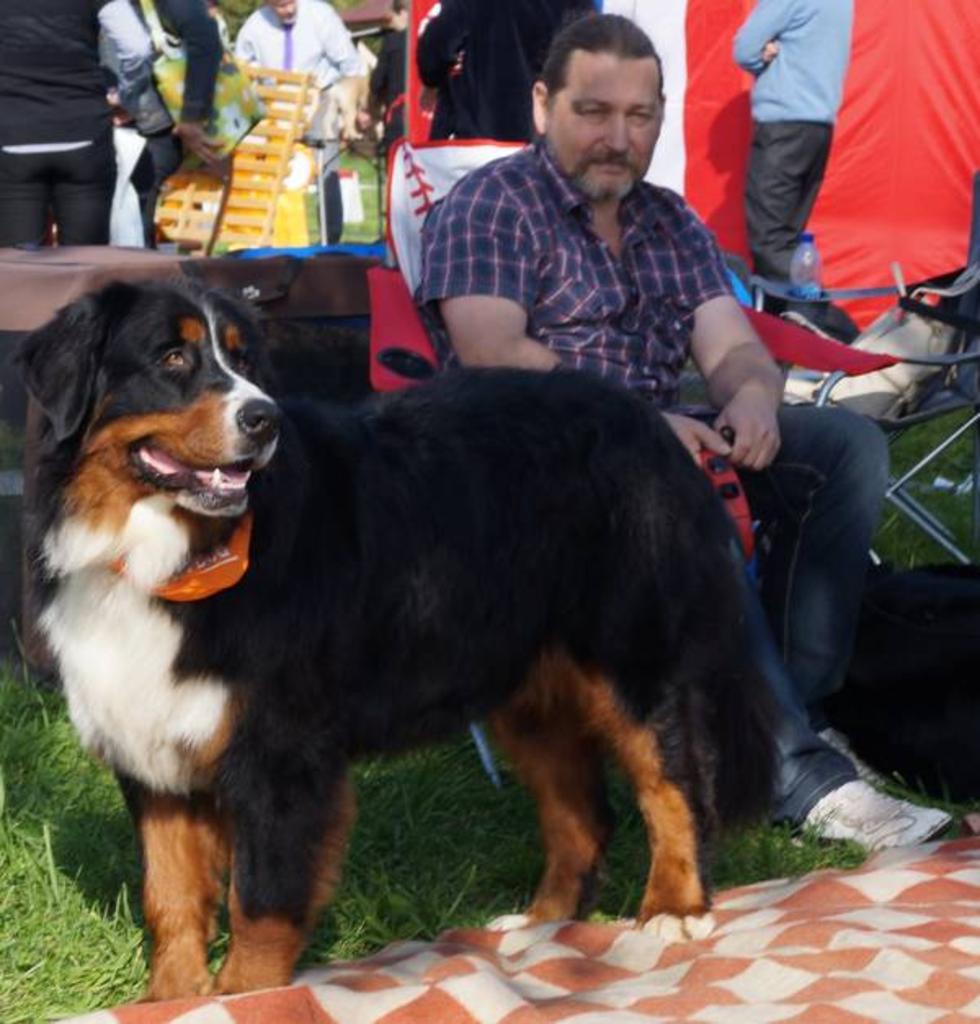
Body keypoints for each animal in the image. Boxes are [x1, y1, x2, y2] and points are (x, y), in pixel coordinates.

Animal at [18, 280, 774, 1001]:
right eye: (172, 358)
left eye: (244, 361)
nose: (263, 418)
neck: (168, 554)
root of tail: (653, 419)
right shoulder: (152, 746)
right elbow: (169, 896)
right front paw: (172, 997)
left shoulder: (278, 752)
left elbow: (260, 902)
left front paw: (243, 995)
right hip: (524, 687)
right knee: (583, 816)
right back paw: (539, 928)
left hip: (628, 656)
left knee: (673, 782)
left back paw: (673, 907)